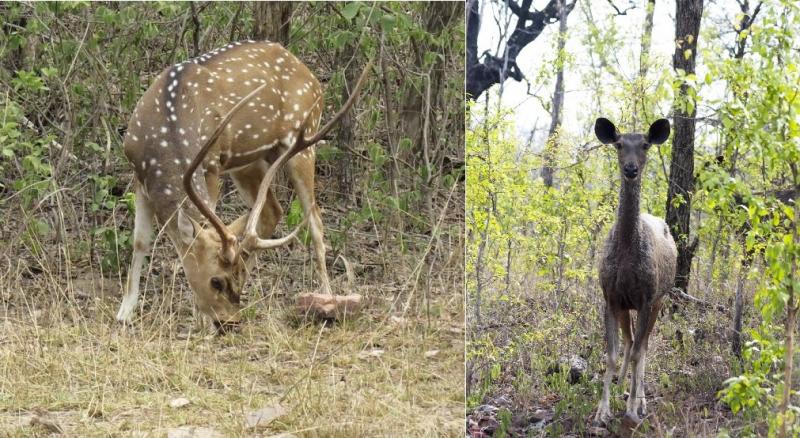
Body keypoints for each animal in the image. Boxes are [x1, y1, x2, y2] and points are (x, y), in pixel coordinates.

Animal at [115, 41, 372, 330]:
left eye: (226, 279)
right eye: (216, 281)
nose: (228, 322)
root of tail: (309, 73)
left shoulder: (211, 164)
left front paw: (198, 317)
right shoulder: (138, 175)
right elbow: (140, 241)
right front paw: (125, 312)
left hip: (304, 142)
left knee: (315, 219)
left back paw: (328, 298)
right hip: (250, 161)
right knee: (272, 211)